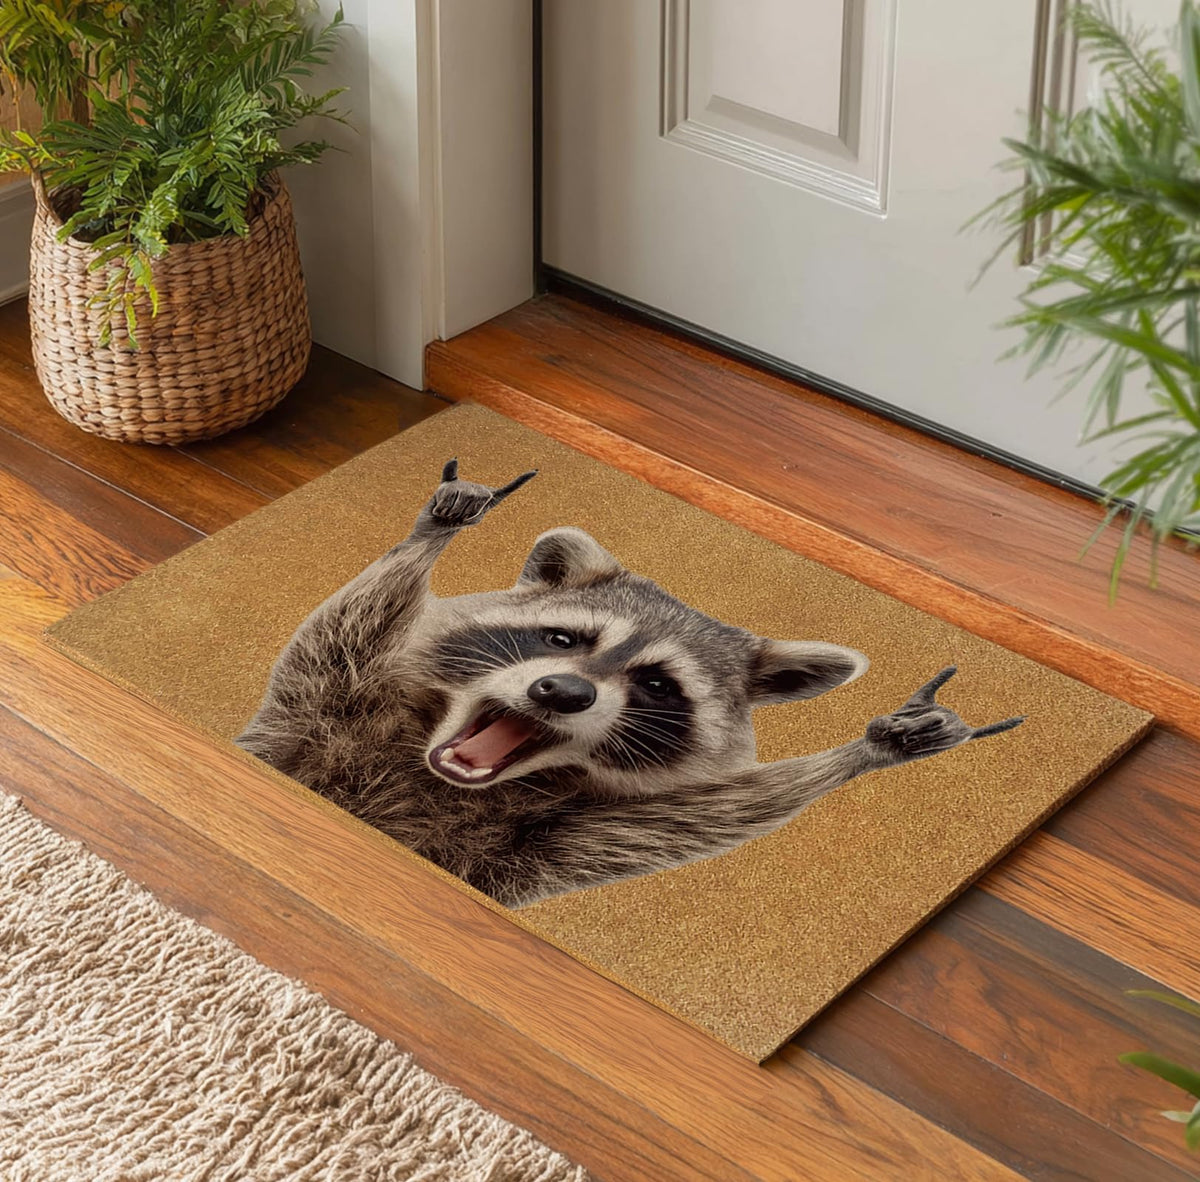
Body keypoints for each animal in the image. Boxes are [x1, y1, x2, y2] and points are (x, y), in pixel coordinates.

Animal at [237, 460, 1024, 908]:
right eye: (562, 640)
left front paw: (873, 748)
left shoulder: (536, 851)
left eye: (656, 686)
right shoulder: (316, 715)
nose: (562, 692)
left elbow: (684, 821)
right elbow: (335, 637)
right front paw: (436, 528)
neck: (431, 774)